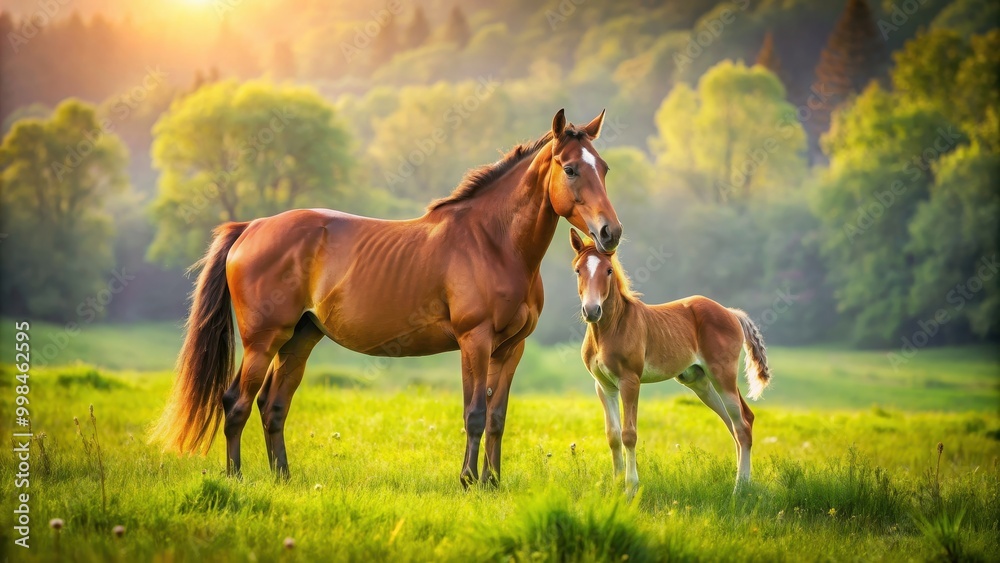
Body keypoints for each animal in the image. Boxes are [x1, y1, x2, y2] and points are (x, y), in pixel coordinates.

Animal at [151, 109, 623, 487]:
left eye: (603, 168)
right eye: (570, 169)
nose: (610, 233)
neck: (493, 242)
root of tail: (250, 227)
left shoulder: (511, 348)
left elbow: (496, 418)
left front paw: (493, 482)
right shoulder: (475, 340)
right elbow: (473, 414)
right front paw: (468, 482)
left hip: (300, 339)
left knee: (273, 406)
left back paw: (281, 477)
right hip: (263, 341)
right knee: (236, 403)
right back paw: (235, 478)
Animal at [568, 229, 771, 496]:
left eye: (609, 270)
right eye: (578, 270)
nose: (592, 310)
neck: (611, 328)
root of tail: (731, 313)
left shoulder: (630, 381)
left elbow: (629, 434)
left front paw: (630, 488)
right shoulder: (603, 386)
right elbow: (613, 435)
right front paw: (616, 485)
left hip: (722, 376)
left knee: (742, 425)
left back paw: (739, 489)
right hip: (700, 382)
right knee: (736, 423)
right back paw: (743, 482)